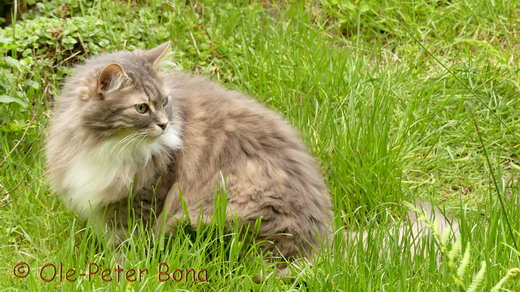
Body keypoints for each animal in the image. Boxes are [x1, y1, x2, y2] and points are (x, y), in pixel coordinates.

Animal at [46, 41, 336, 270]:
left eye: (164, 102)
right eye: (141, 108)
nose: (164, 124)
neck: (104, 145)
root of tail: (316, 246)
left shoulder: (145, 196)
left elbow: (128, 241)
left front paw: (121, 268)